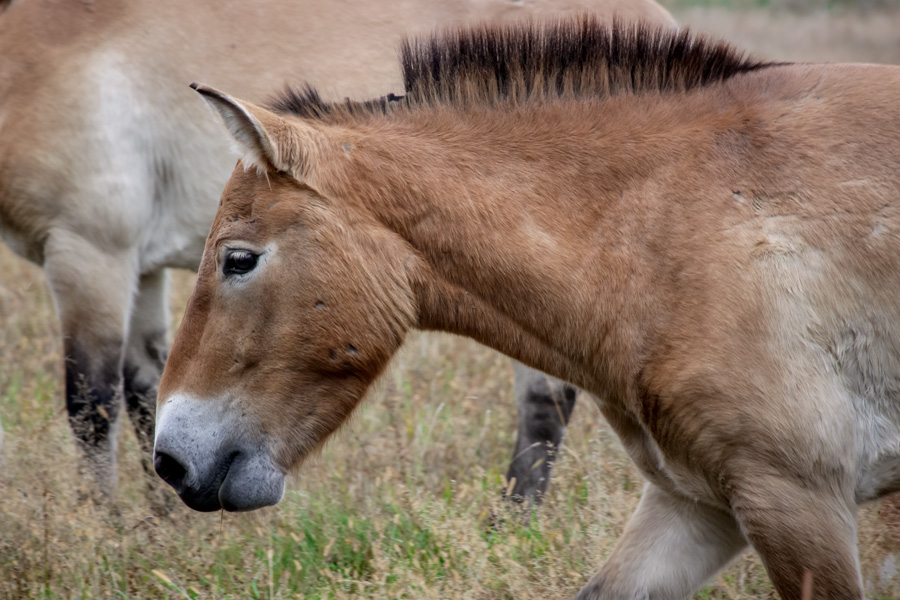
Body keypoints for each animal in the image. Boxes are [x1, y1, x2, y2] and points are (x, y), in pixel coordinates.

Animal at [0, 0, 672, 496]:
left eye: (240, 260)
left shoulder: (90, 251)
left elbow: (91, 405)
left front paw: (106, 531)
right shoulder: (139, 268)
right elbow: (143, 398)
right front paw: (157, 529)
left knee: (545, 402)